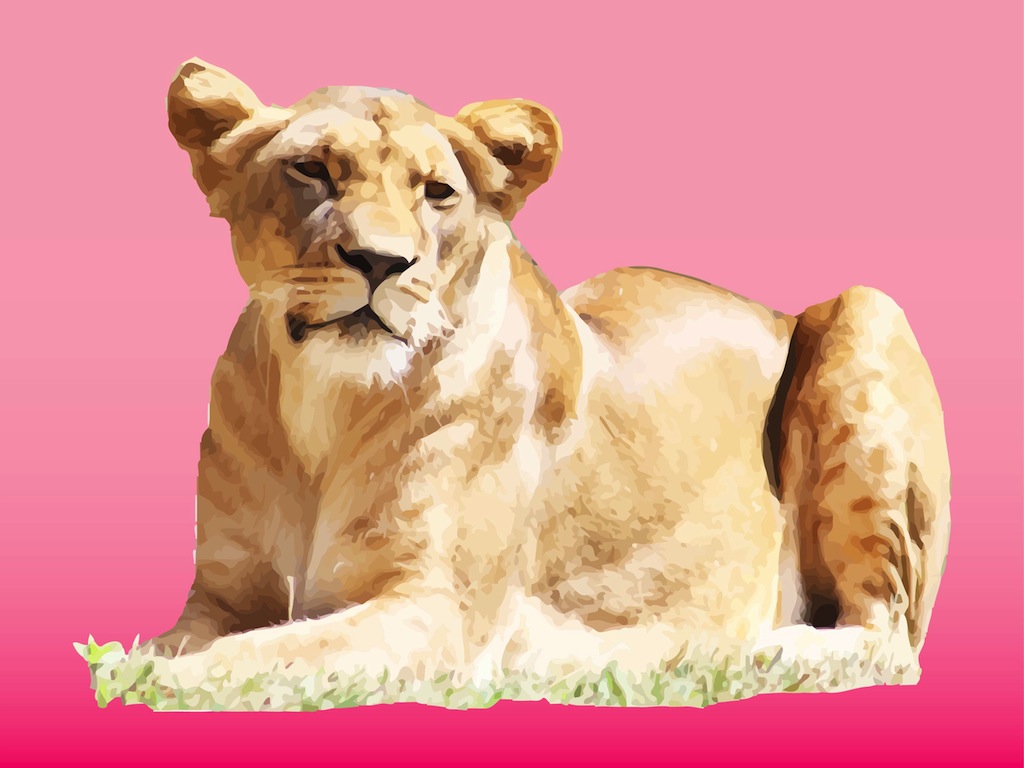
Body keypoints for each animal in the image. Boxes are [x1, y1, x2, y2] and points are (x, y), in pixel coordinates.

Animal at [141, 58, 950, 704]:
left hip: (869, 312)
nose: (380, 262)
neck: (324, 411)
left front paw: (158, 682)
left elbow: (259, 653)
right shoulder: (218, 595)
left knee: (889, 637)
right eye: (311, 169)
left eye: (437, 191)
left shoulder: (436, 614)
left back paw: (762, 651)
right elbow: (184, 640)